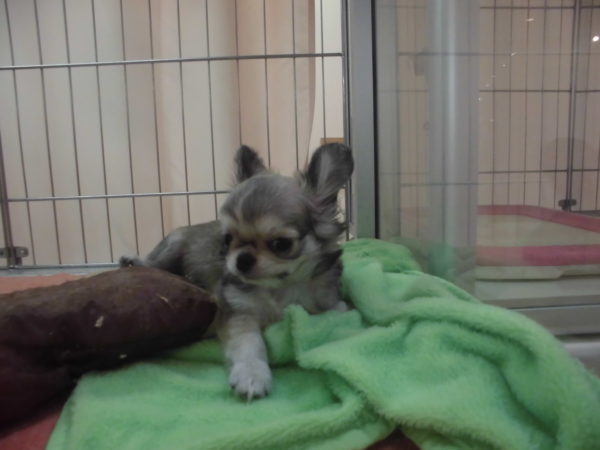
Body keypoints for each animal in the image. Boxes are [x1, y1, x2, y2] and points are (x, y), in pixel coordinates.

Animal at [120, 143, 354, 400]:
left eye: (281, 244)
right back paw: (134, 262)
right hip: (172, 247)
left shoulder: (324, 302)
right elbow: (250, 344)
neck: (279, 290)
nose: (241, 259)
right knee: (155, 264)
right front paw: (252, 375)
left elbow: (334, 312)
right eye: (227, 239)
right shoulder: (239, 313)